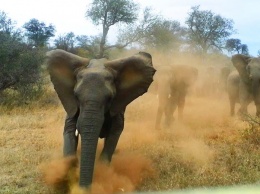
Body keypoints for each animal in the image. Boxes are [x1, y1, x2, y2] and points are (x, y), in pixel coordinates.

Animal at [46, 49, 156, 188]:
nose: (84, 189)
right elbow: (69, 130)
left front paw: (102, 173)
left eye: (110, 98)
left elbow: (114, 133)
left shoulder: (117, 106)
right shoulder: (71, 105)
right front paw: (67, 173)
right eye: (76, 96)